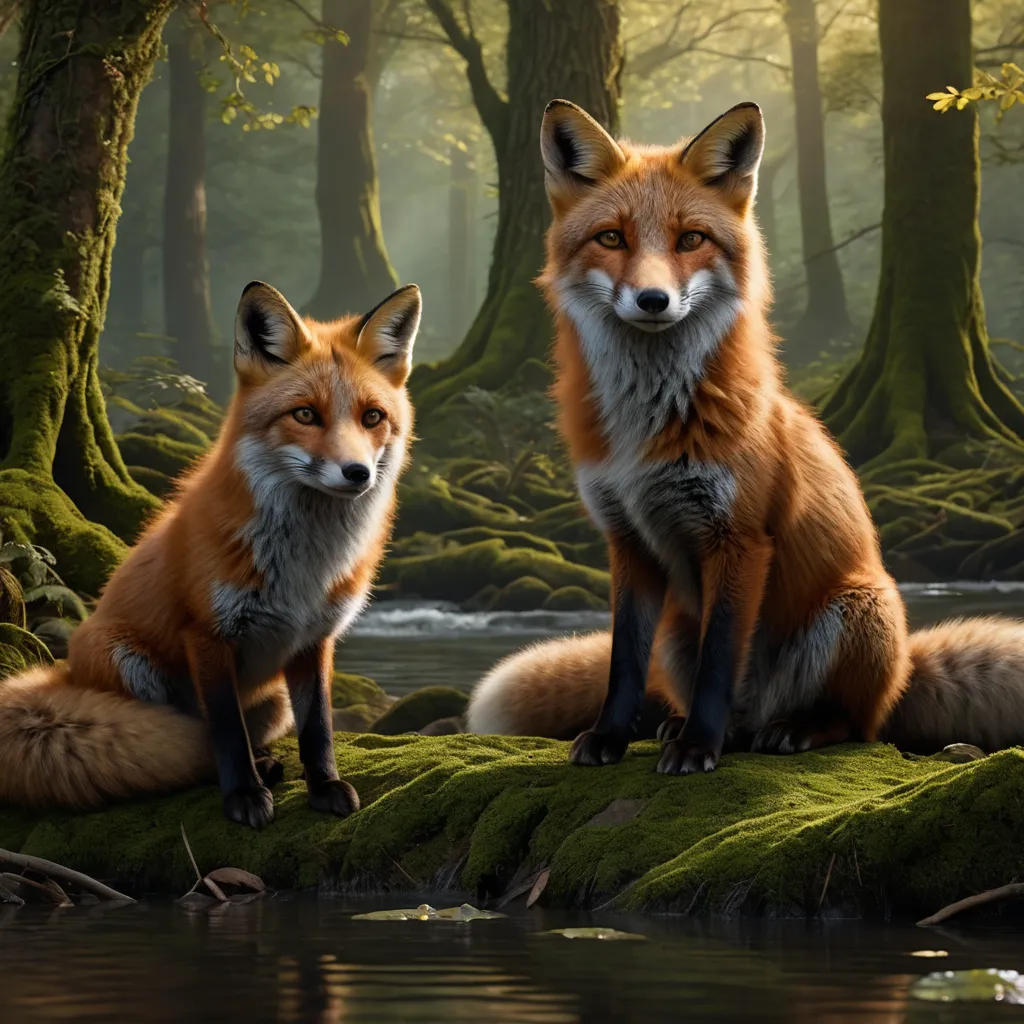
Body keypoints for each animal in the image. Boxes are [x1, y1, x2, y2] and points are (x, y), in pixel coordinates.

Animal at [0, 280, 422, 827]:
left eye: (372, 417)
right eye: (305, 414)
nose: (357, 473)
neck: (304, 567)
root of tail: (64, 672)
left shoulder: (314, 640)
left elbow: (318, 726)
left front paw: (324, 785)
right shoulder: (207, 633)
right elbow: (224, 730)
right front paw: (242, 793)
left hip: (272, 702)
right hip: (129, 663)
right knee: (184, 738)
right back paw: (246, 771)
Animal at [466, 99, 1024, 768]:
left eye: (691, 239)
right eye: (611, 238)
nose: (653, 300)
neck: (646, 431)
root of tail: (904, 669)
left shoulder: (739, 538)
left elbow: (719, 661)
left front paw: (697, 749)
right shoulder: (626, 540)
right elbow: (623, 662)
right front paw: (611, 736)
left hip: (859, 609)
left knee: (857, 724)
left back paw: (790, 729)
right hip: (676, 630)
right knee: (720, 701)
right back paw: (691, 727)